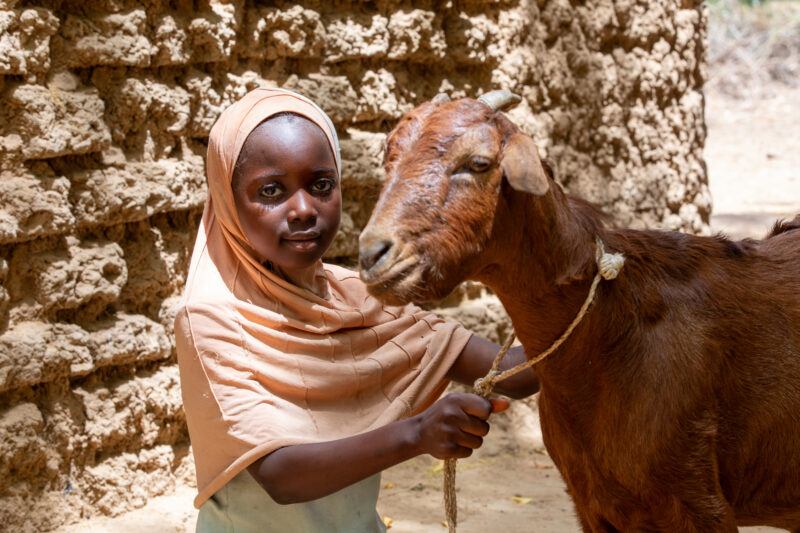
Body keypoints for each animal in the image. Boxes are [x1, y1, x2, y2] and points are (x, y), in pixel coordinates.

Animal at [358, 90, 800, 532]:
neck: (611, 333)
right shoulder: (592, 504)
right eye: (389, 159)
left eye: (478, 163)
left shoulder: (699, 502)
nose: (371, 255)